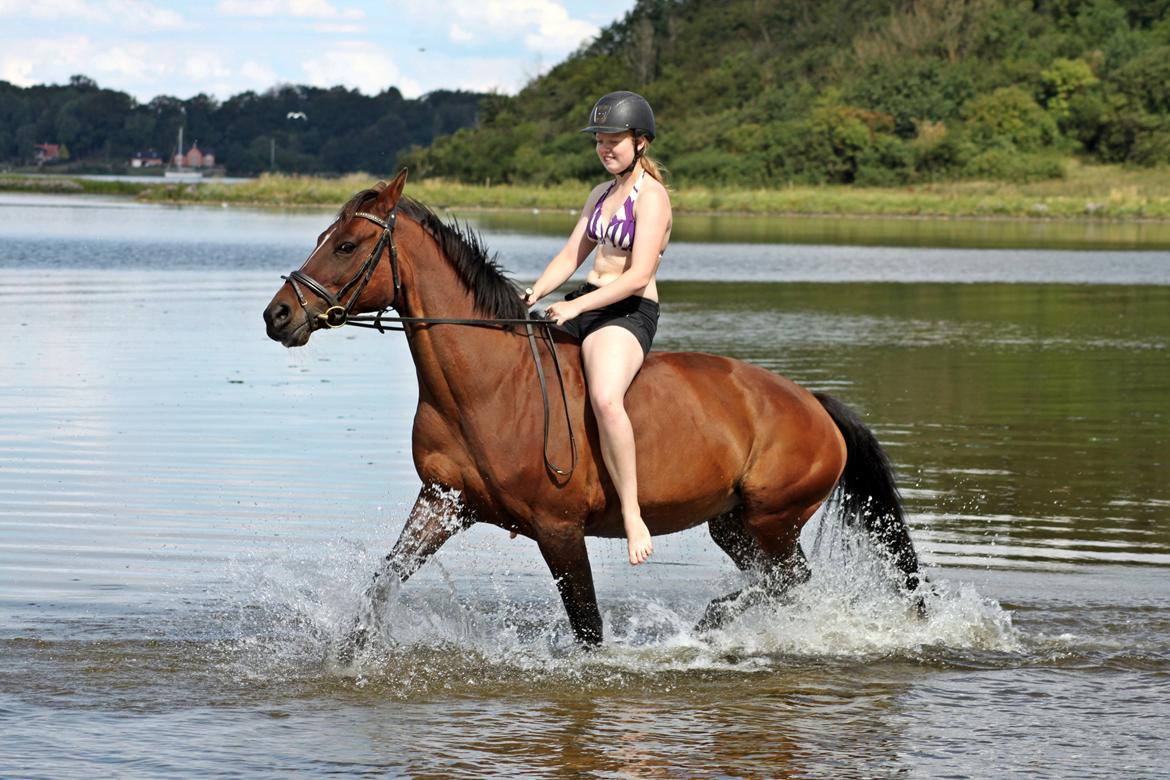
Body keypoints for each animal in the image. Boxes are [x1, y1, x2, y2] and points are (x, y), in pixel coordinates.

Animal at [263, 171, 921, 654]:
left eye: (347, 245)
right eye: (323, 237)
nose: (278, 315)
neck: (488, 386)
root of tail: (814, 403)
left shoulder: (558, 529)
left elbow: (588, 626)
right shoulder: (442, 504)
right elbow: (380, 584)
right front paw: (350, 655)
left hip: (774, 520)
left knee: (789, 585)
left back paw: (712, 622)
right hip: (735, 524)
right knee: (781, 585)